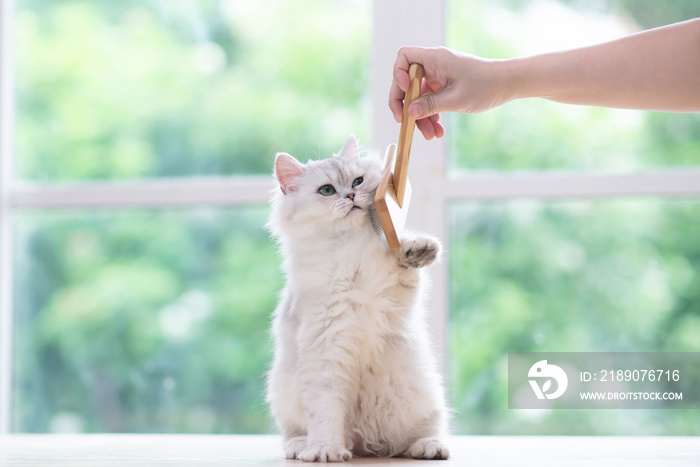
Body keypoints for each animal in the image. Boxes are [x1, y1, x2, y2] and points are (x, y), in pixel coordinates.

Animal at [268, 133, 448, 462]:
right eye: (326, 190)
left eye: (357, 181)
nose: (351, 196)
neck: (349, 248)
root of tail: (365, 442)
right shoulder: (326, 343)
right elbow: (325, 411)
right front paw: (325, 451)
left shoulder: (398, 291)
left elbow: (406, 259)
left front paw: (418, 249)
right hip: (283, 394)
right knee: (296, 433)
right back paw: (303, 448)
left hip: (421, 395)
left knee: (422, 434)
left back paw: (430, 447)